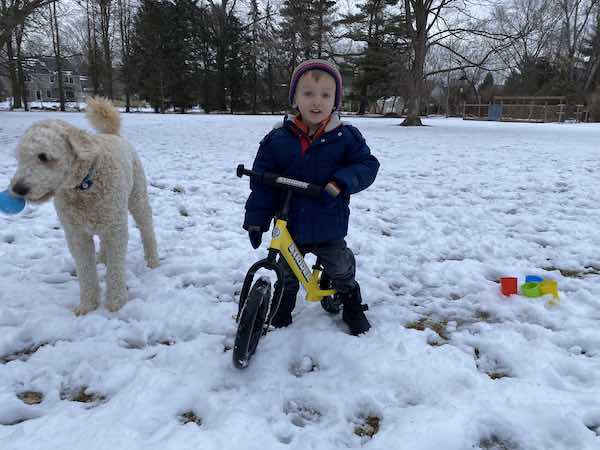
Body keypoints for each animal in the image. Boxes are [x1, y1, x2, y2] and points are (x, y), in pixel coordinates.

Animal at [10, 96, 159, 314]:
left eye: (43, 156)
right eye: (19, 157)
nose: (17, 189)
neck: (83, 187)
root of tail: (111, 133)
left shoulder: (116, 228)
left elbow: (116, 269)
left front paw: (116, 302)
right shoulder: (76, 234)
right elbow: (86, 271)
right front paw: (87, 306)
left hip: (137, 198)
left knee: (147, 228)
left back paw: (153, 261)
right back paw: (102, 259)